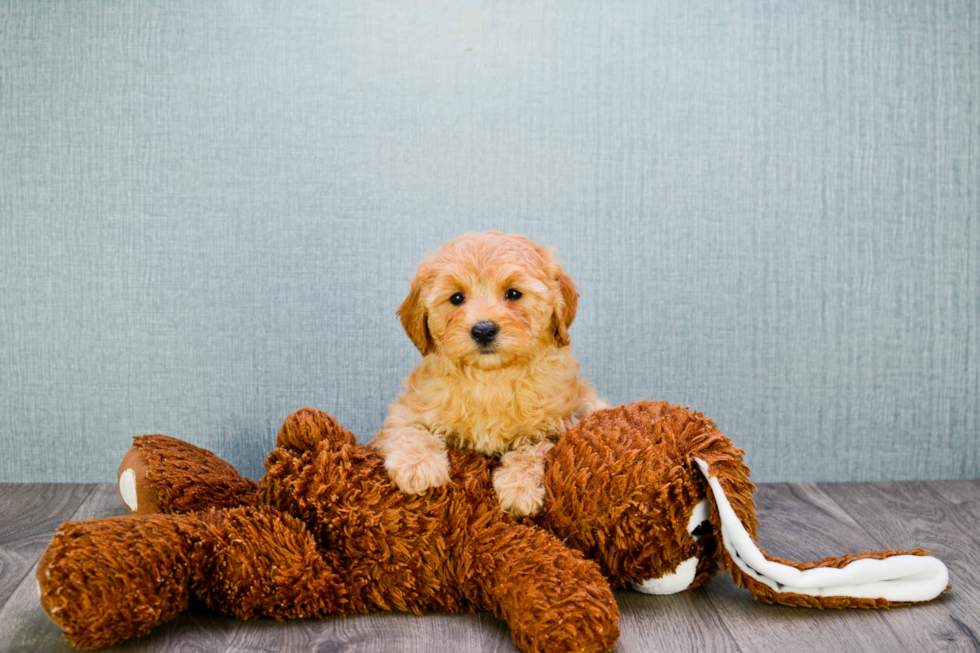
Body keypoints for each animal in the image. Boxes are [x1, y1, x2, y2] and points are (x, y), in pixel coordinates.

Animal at [374, 233, 608, 516]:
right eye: (456, 298)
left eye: (513, 293)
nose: (483, 329)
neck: (490, 378)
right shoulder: (404, 411)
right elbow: (411, 431)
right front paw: (417, 466)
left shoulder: (559, 425)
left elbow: (533, 448)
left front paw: (520, 488)